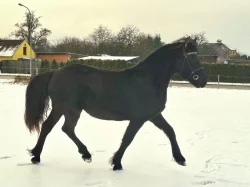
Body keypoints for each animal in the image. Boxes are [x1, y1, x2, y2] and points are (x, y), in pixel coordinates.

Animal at [24, 36, 207, 169]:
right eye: (192, 57)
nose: (203, 81)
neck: (148, 80)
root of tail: (54, 73)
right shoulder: (139, 119)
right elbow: (127, 139)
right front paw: (116, 163)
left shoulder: (154, 115)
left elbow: (170, 131)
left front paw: (180, 159)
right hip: (70, 110)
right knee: (65, 129)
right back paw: (85, 154)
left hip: (61, 109)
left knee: (49, 127)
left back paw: (36, 156)